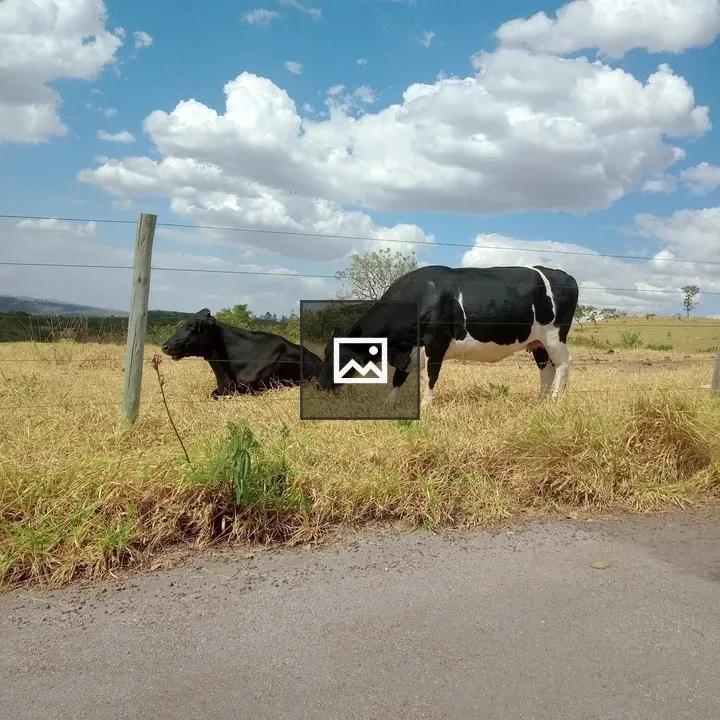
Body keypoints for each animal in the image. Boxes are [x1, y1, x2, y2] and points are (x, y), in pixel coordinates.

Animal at [318, 265, 579, 407]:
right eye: (326, 352)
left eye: (336, 356)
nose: (320, 386)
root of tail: (564, 275)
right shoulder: (410, 349)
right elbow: (399, 378)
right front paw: (389, 404)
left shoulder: (436, 342)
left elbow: (430, 376)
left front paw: (426, 405)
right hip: (537, 343)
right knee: (546, 369)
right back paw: (539, 402)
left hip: (555, 336)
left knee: (563, 364)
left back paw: (555, 400)